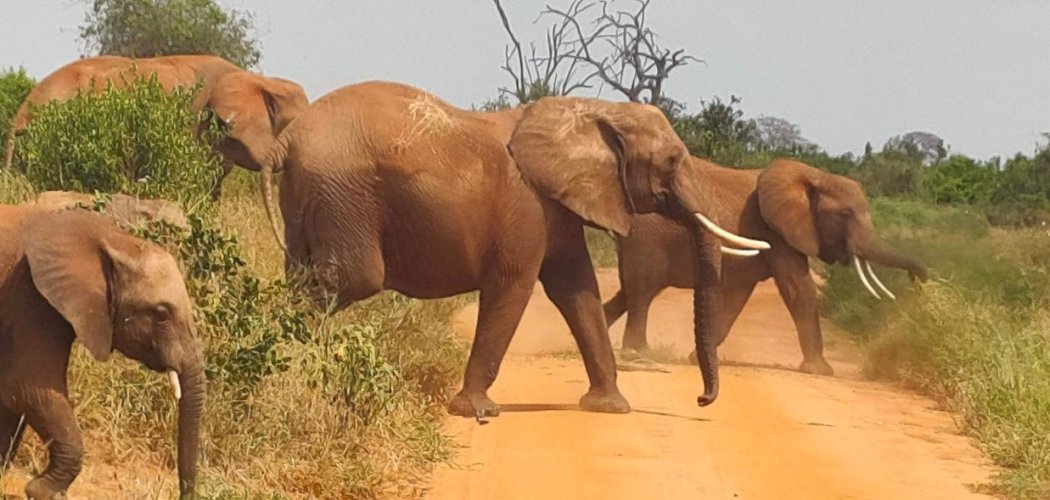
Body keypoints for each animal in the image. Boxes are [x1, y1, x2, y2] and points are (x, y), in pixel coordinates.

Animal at [0, 205, 204, 499]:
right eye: (161, 314)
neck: (111, 237)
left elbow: (13, 400)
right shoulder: (30, 295)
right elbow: (27, 388)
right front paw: (42, 491)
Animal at [259, 81, 770, 416]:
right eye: (671, 161)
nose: (702, 400)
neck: (589, 110)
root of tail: (286, 139)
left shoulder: (556, 206)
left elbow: (576, 290)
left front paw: (610, 407)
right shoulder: (527, 208)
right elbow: (514, 286)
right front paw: (476, 412)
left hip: (311, 197)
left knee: (302, 275)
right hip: (343, 195)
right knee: (348, 280)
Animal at [603, 157, 928, 375]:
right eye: (846, 214)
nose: (918, 281)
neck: (813, 176)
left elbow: (736, 298)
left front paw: (698, 358)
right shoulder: (777, 233)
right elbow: (798, 289)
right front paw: (821, 371)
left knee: (627, 293)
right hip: (648, 238)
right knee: (642, 292)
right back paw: (638, 353)